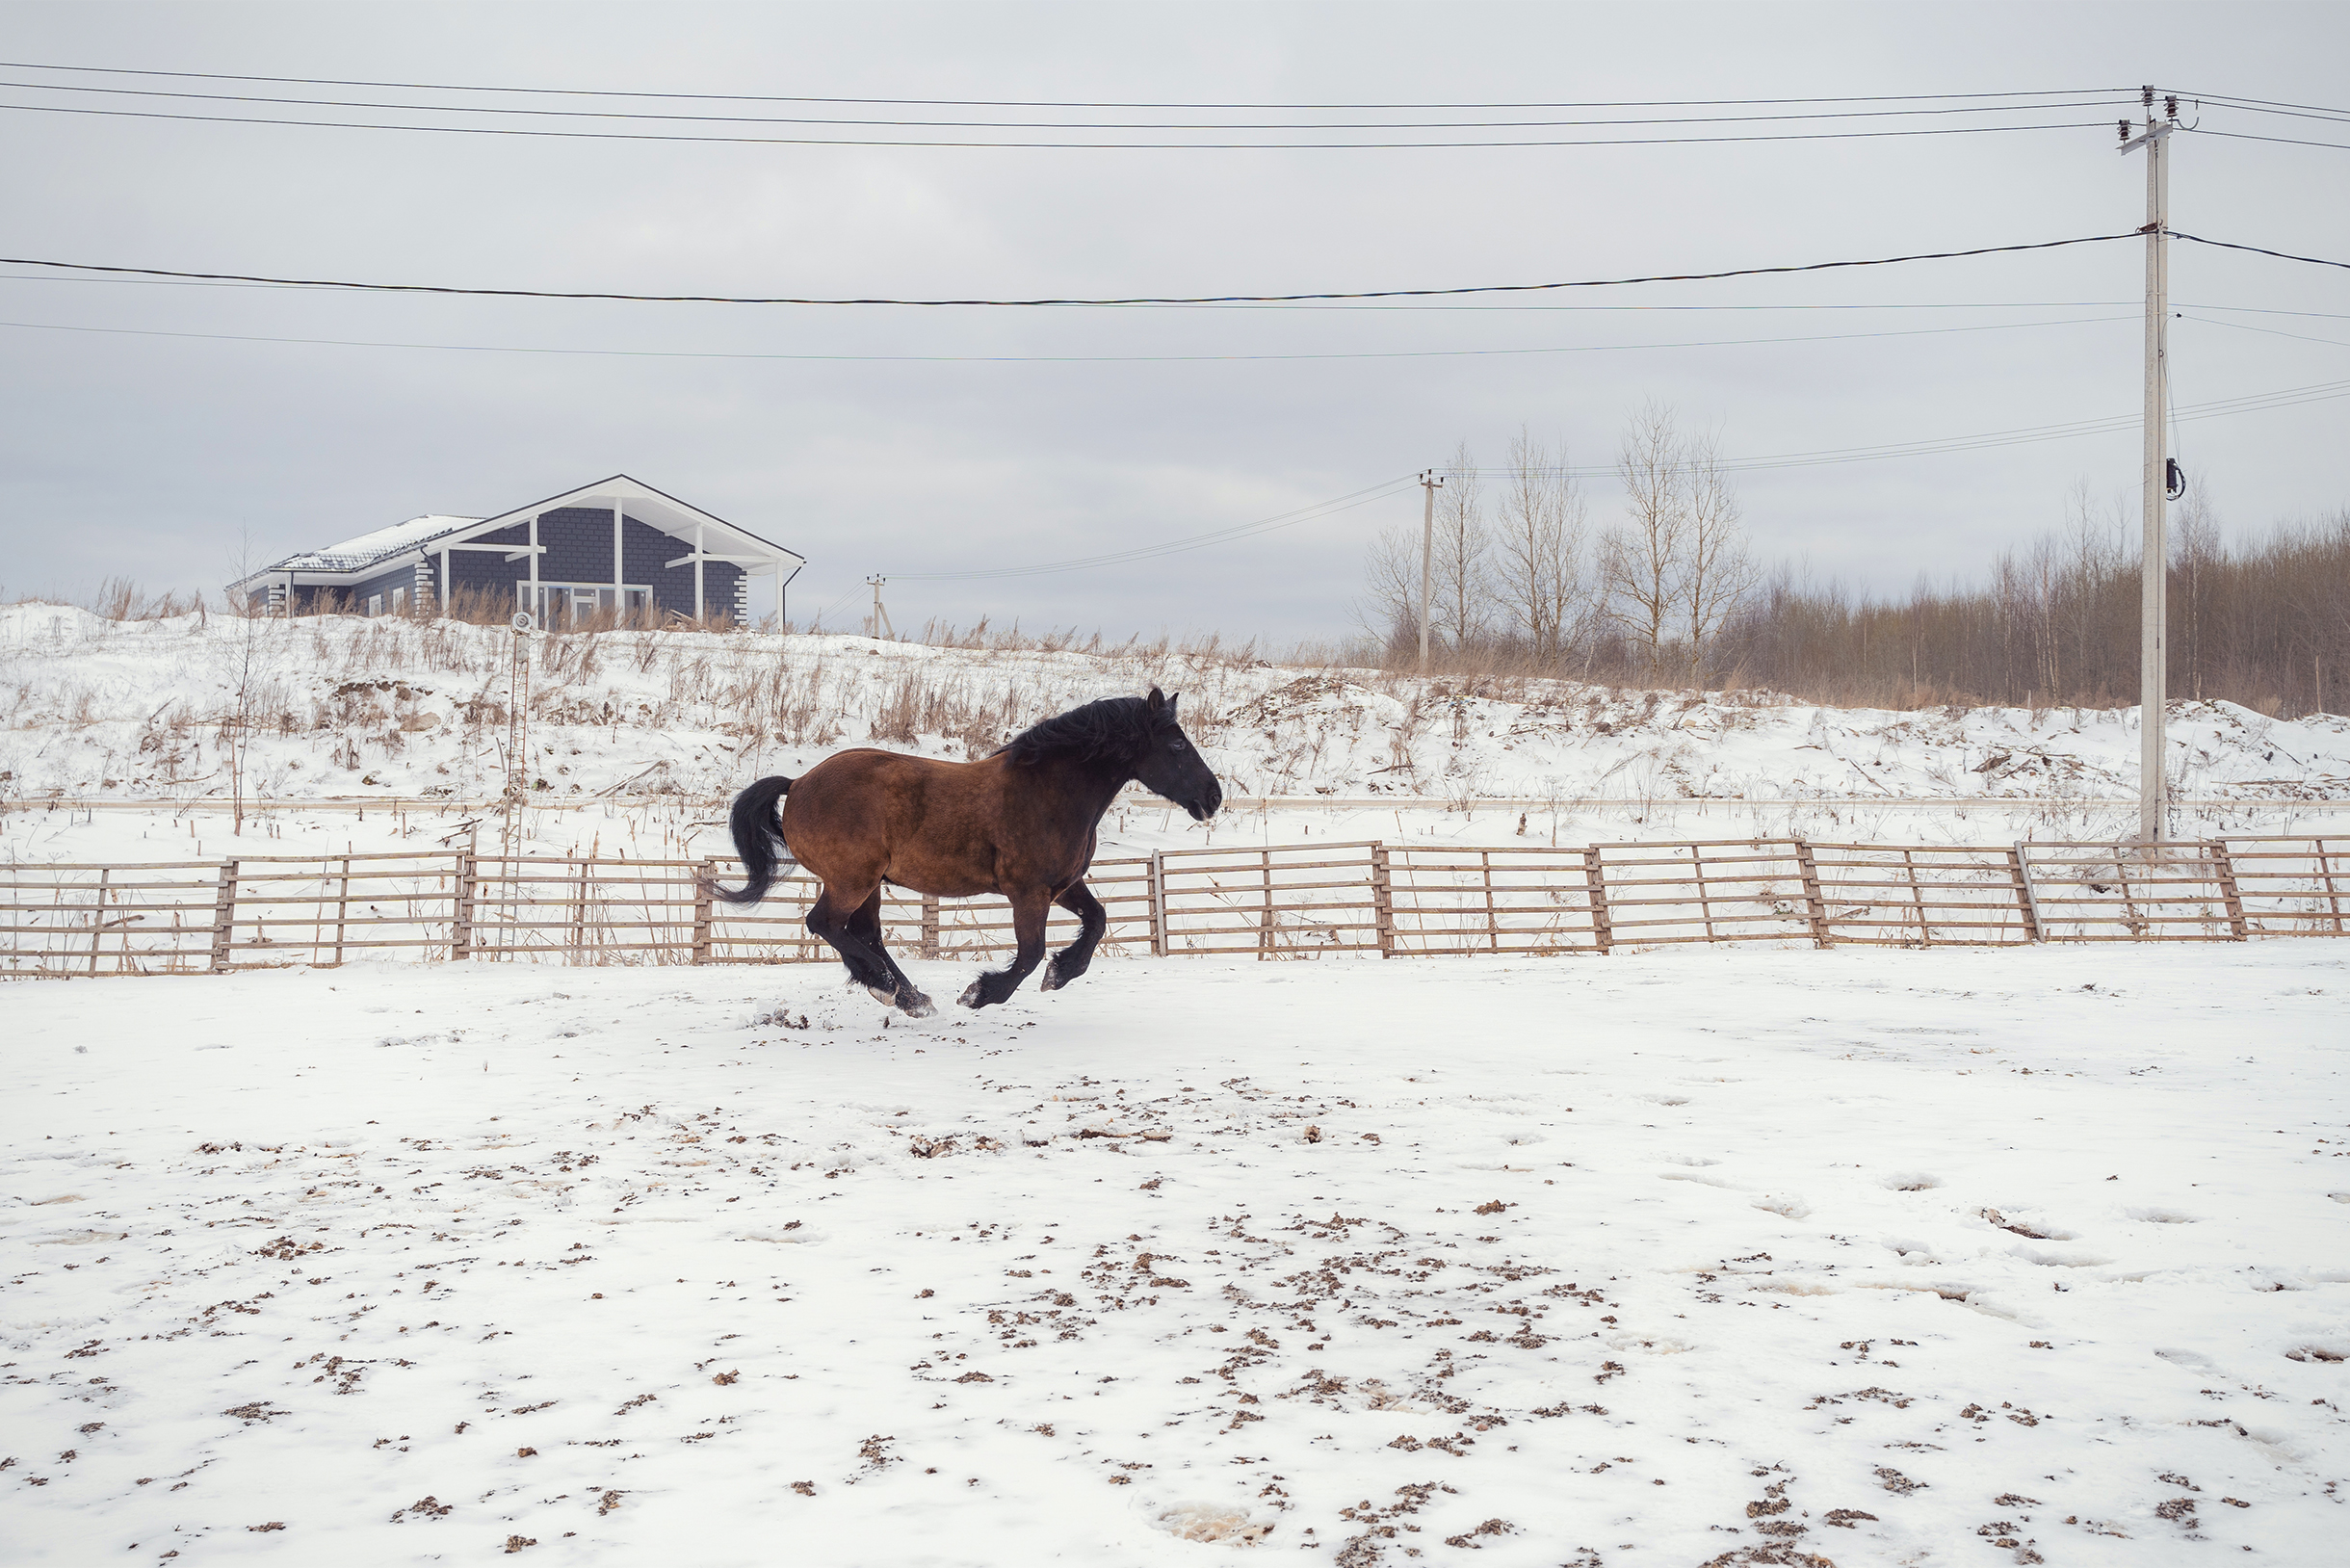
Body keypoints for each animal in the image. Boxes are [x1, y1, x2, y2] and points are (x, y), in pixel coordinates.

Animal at [714, 691, 1221, 1020]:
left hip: (869, 884)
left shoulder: (1064, 886)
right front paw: (981, 993)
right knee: (826, 924)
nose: (1213, 797)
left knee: (863, 934)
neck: (1050, 792)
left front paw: (1061, 973)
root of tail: (797, 783)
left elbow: (1095, 922)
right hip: (851, 880)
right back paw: (893, 989)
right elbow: (1030, 953)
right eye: (1177, 743)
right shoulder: (1028, 892)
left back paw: (907, 995)